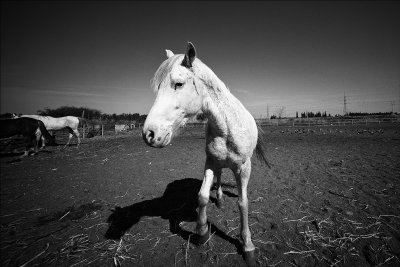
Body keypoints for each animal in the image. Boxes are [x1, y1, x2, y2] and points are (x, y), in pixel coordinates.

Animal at [142, 43, 270, 266]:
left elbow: (243, 203)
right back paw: (218, 199)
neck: (226, 127)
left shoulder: (243, 168)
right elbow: (202, 197)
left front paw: (247, 246)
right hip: (218, 163)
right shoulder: (210, 162)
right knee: (218, 178)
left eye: (178, 84)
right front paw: (201, 233)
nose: (149, 134)